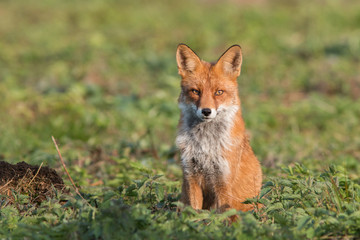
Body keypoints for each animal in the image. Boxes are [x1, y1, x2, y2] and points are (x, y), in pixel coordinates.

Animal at [175, 44, 262, 215]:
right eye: (196, 91)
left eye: (219, 92)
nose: (206, 111)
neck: (206, 145)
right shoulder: (191, 176)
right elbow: (194, 212)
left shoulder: (223, 181)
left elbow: (223, 216)